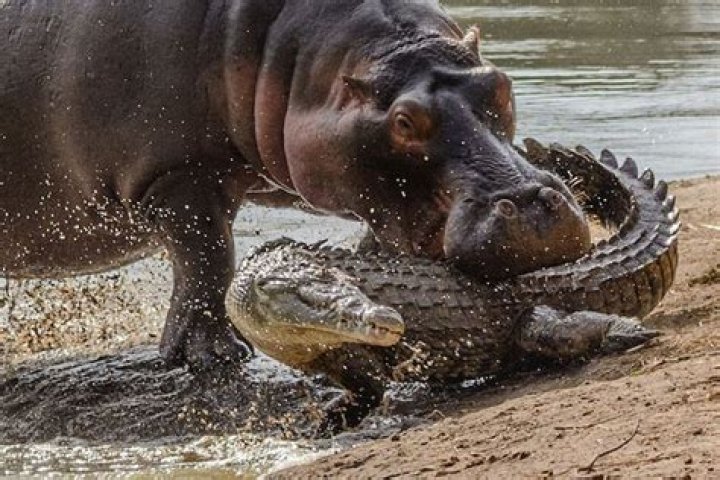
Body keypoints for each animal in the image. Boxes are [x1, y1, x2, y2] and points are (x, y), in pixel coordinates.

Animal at [0, 0, 590, 371]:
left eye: (501, 84)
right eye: (404, 121)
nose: (534, 206)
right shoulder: (174, 175)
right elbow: (206, 259)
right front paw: (213, 357)